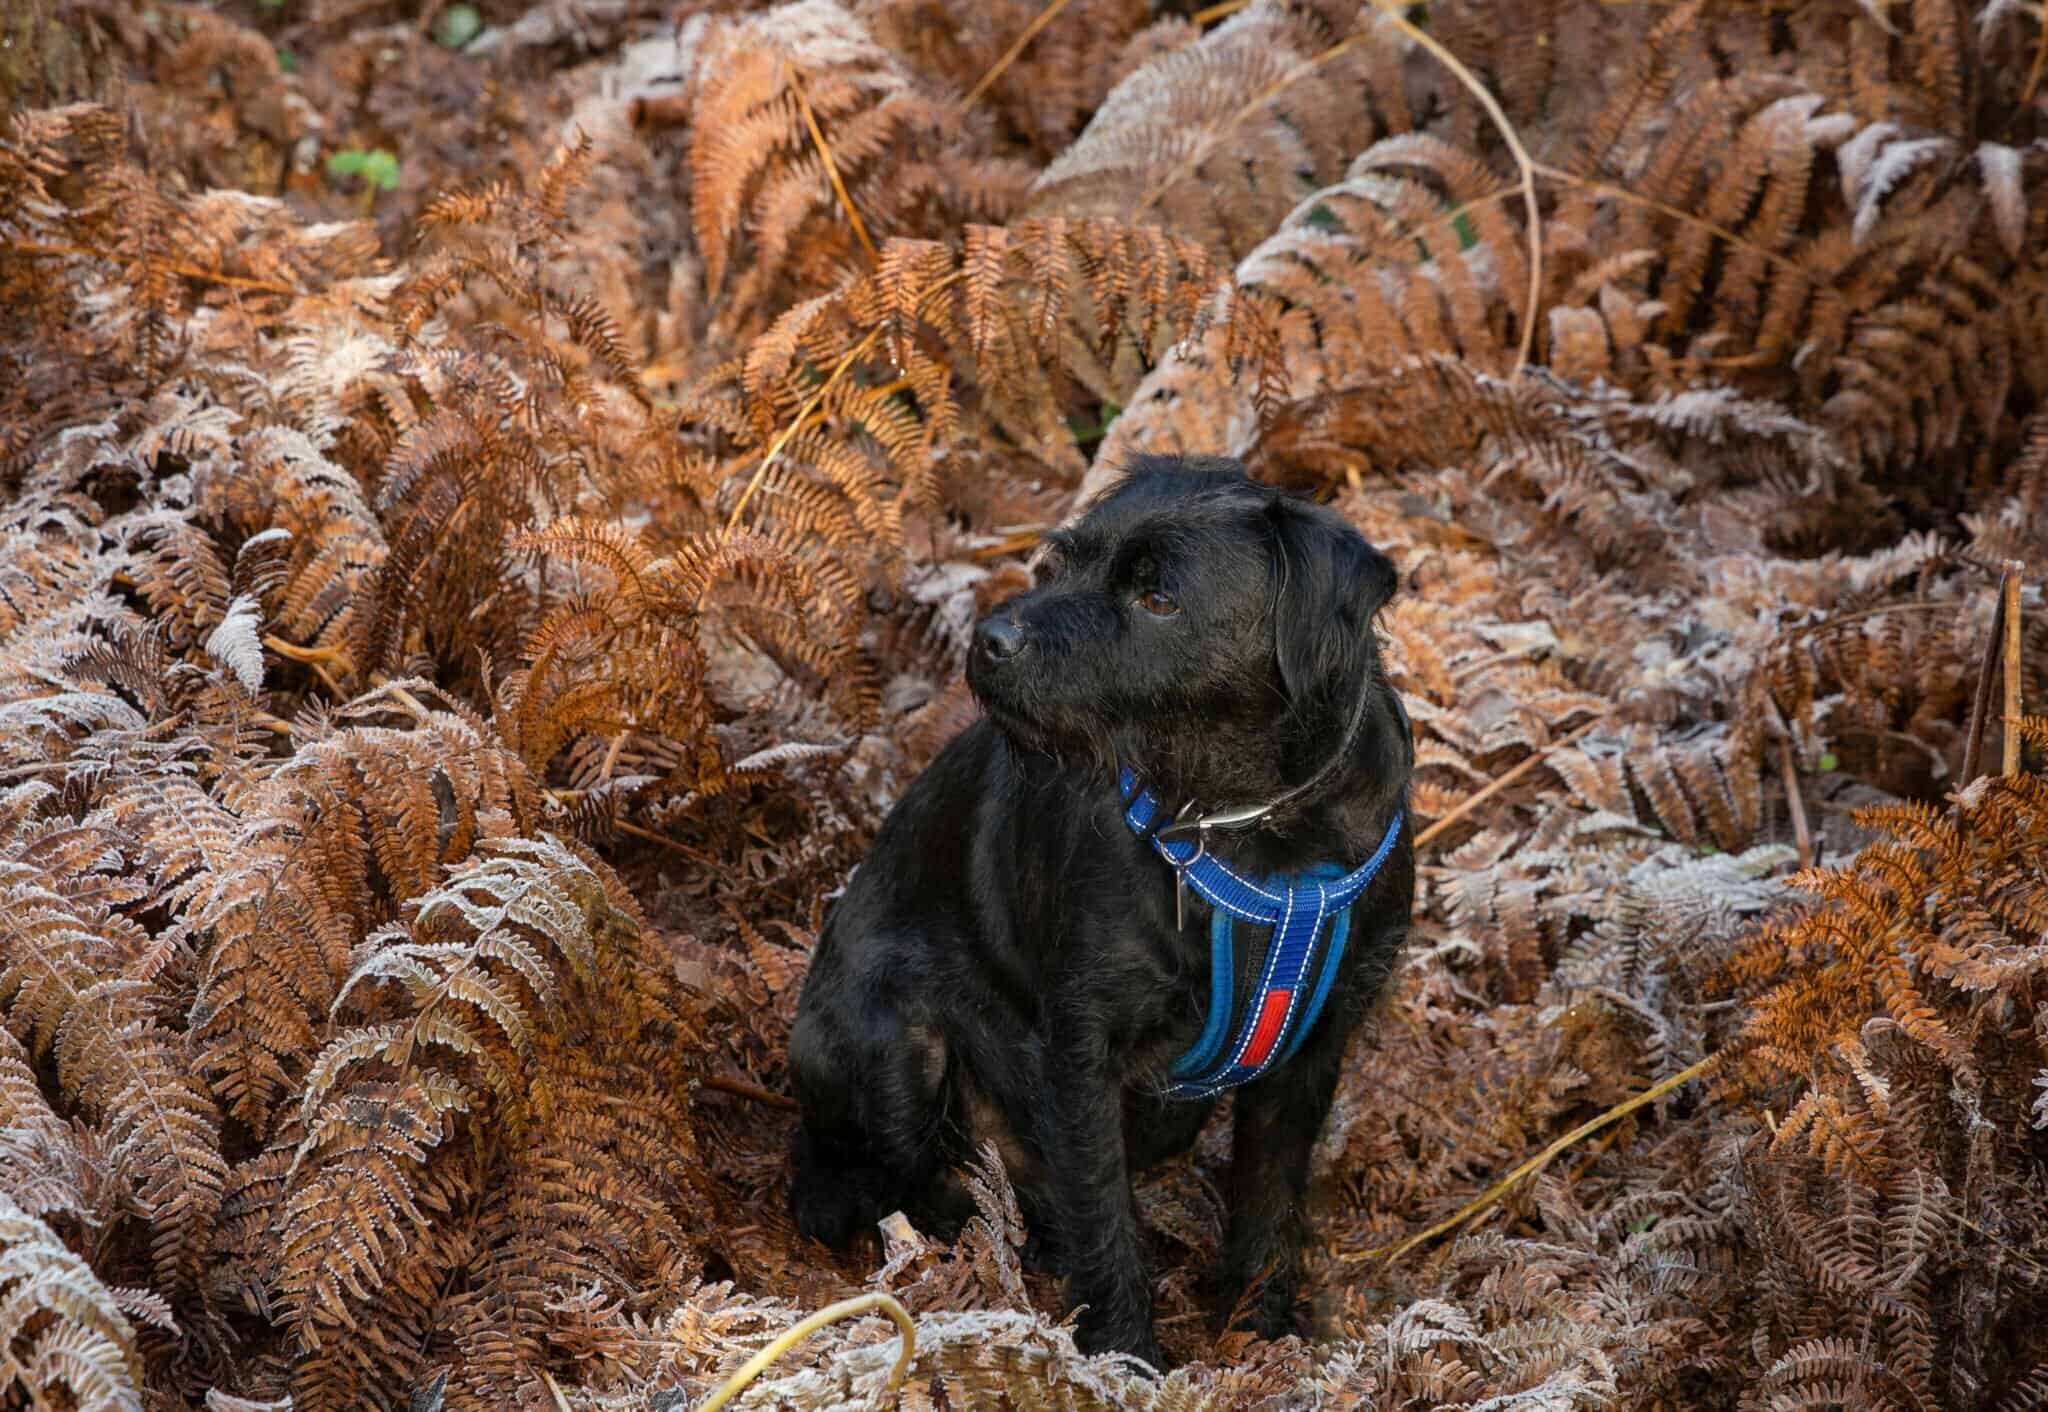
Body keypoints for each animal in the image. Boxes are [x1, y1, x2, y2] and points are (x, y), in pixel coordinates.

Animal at [790, 457, 1417, 1360]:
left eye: (1157, 597)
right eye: (1064, 561)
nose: (992, 639)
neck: (1246, 826)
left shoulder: (1310, 1053)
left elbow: (1268, 1204)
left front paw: (1258, 1335)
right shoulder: (1083, 1053)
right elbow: (1103, 1213)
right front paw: (1125, 1355)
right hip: (898, 1040)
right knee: (899, 1187)